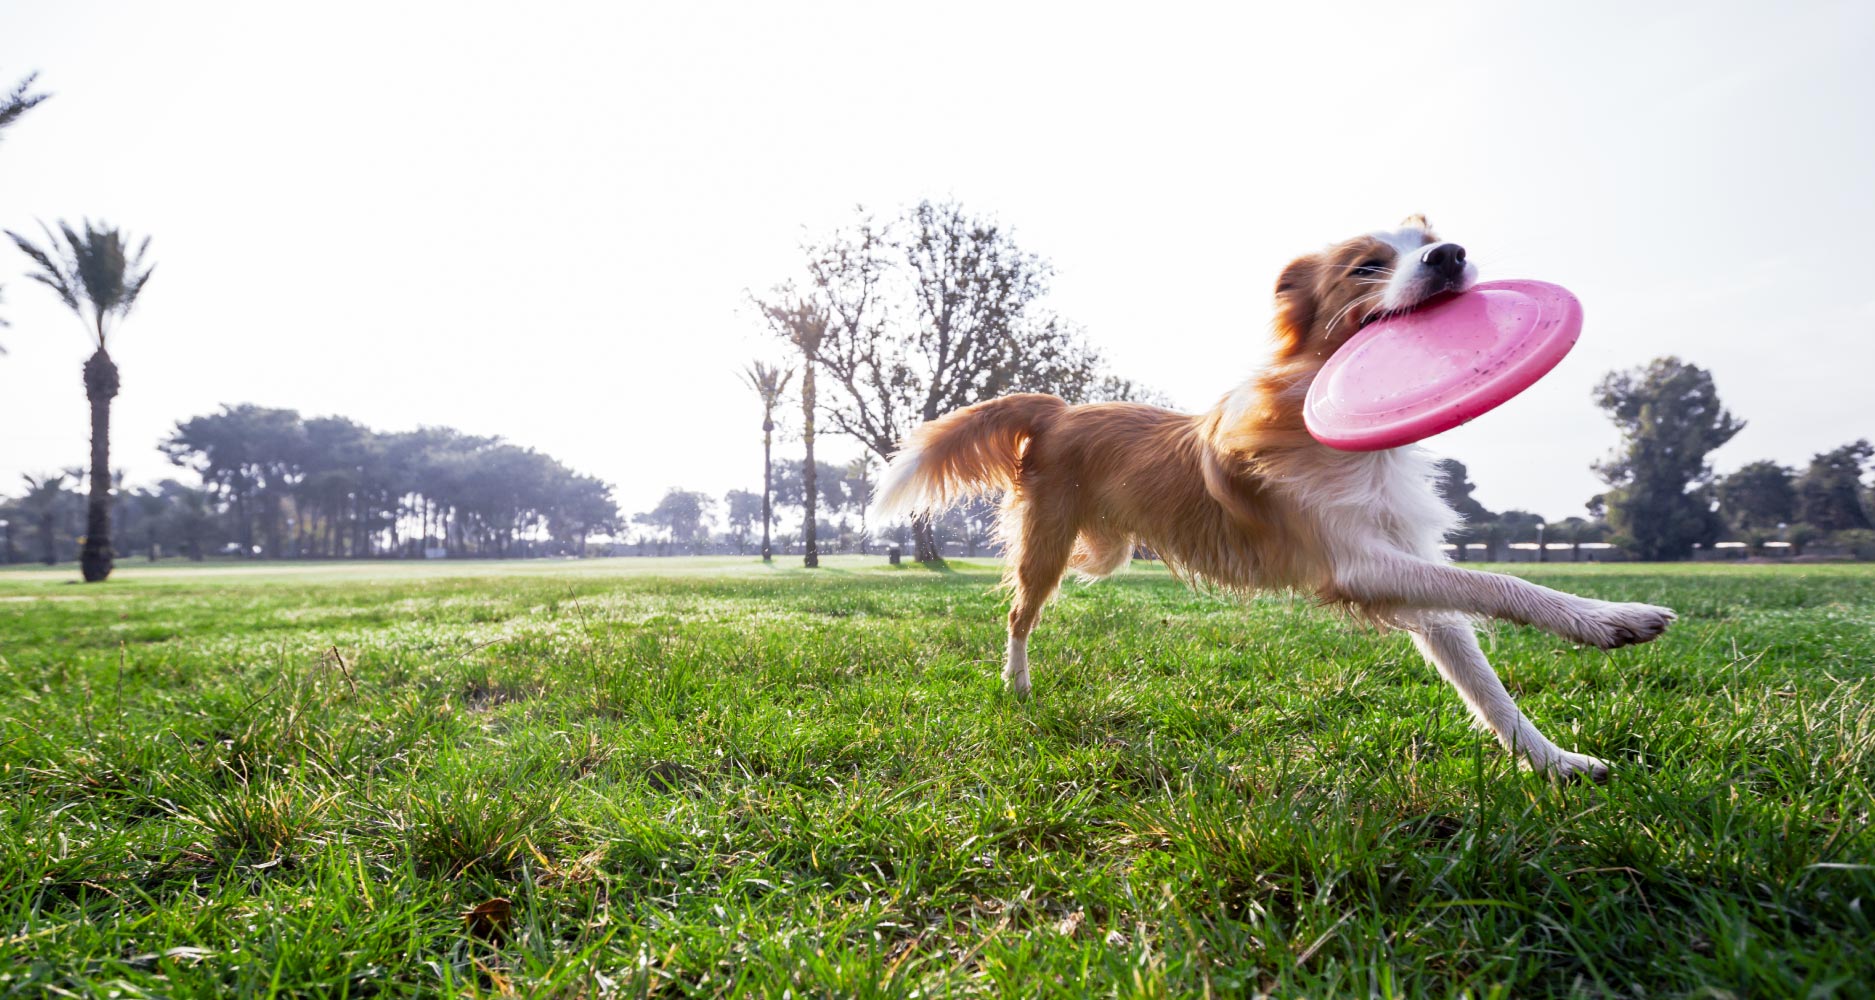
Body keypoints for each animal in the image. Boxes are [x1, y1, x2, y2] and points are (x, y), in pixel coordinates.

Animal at [870, 216, 1680, 780]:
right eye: (1366, 266)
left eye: (1427, 241)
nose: (1449, 254)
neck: (1357, 453)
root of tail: (1060, 409)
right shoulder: (1357, 564)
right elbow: (1500, 580)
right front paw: (1609, 618)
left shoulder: (1408, 573)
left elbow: (1485, 684)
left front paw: (1554, 762)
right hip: (1049, 543)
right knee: (1018, 611)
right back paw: (1016, 684)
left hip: (1104, 550)